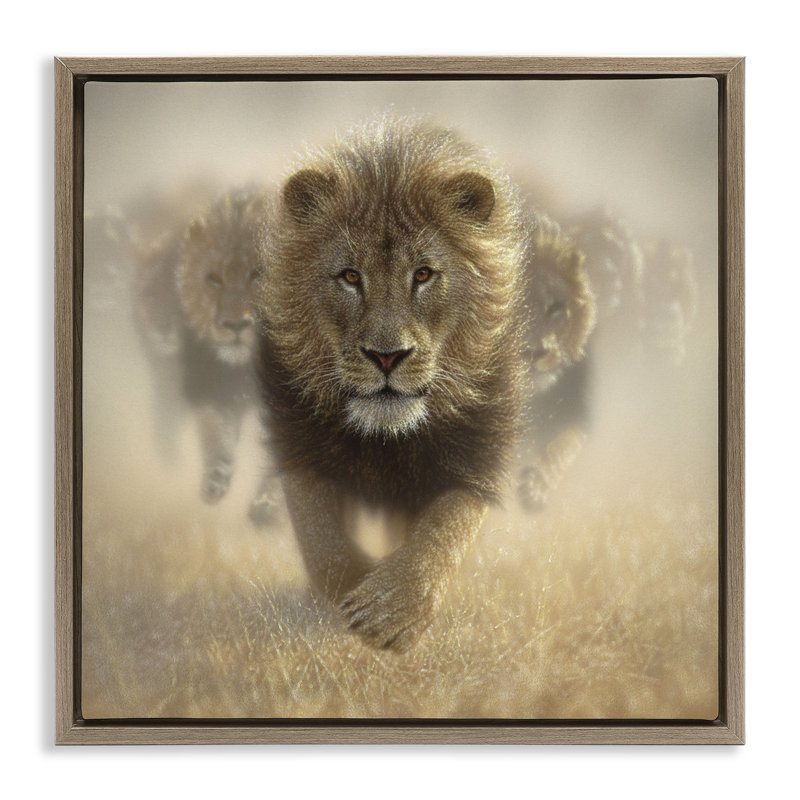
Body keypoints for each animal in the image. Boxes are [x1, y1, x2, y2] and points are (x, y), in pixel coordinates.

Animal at [134, 186, 280, 525]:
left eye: (258, 274)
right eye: (214, 279)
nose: (235, 325)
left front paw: (266, 505)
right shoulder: (211, 388)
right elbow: (216, 435)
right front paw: (215, 482)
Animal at [256, 117, 530, 652]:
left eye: (423, 274)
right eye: (349, 276)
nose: (387, 356)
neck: (386, 440)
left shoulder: (477, 456)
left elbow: (445, 530)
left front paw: (392, 609)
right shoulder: (297, 439)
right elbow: (322, 541)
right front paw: (355, 589)